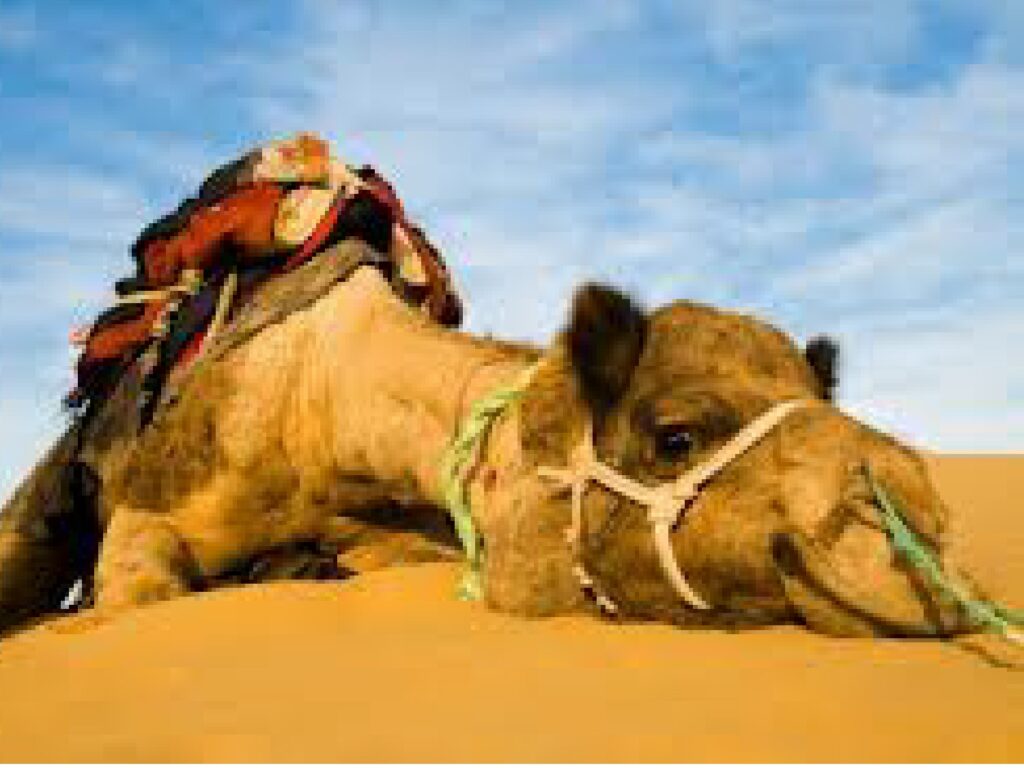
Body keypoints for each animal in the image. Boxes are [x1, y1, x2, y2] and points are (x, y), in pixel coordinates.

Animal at [0, 240, 974, 638]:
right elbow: (144, 593)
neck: (328, 395)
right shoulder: (160, 500)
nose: (915, 525)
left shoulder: (397, 538)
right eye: (675, 436)